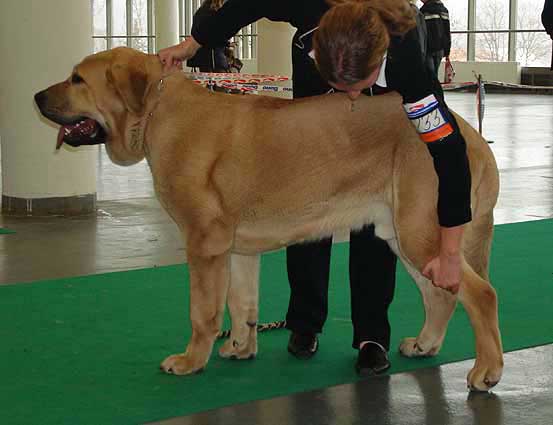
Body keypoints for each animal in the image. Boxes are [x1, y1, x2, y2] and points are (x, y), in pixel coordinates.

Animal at [33, 48, 500, 390]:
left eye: (77, 79)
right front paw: (240, 348)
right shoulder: (236, 248)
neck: (156, 113)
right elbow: (241, 303)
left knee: (481, 294)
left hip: (420, 233)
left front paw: (190, 361)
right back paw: (424, 345)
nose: (37, 97)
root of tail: (466, 132)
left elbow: (202, 312)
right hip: (404, 236)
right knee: (441, 295)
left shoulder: (204, 244)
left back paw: (486, 371)